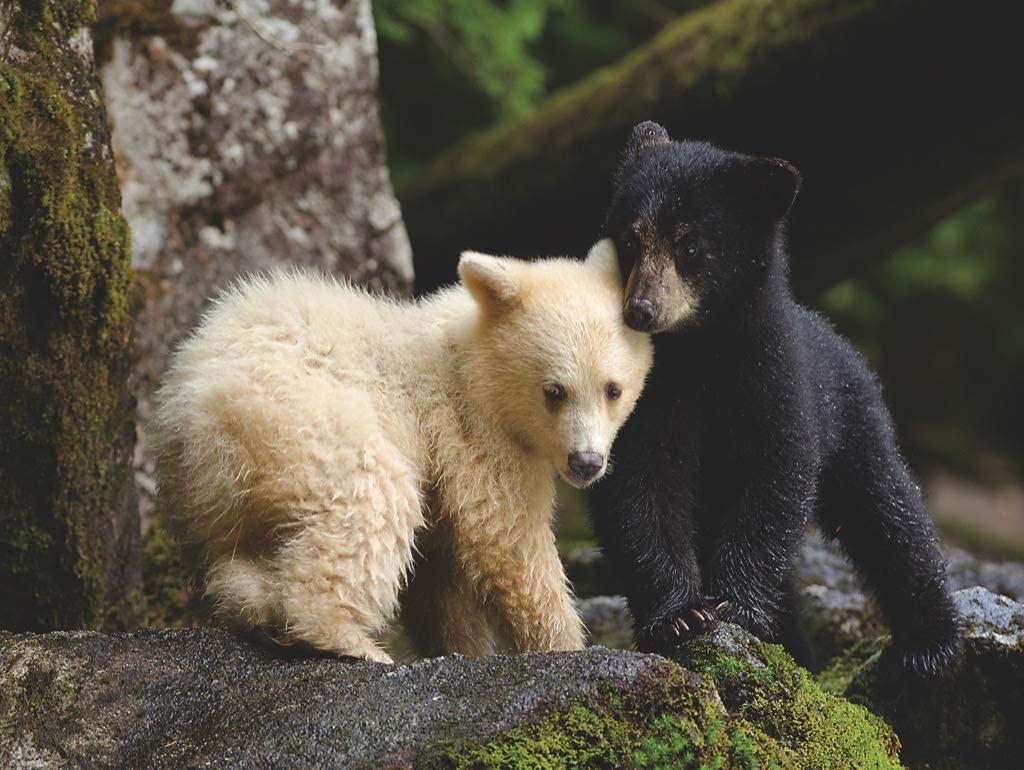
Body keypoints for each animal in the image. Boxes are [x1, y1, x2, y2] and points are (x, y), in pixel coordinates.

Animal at [151, 240, 653, 663]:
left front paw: (461, 647)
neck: (472, 363)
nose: (586, 463)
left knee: (240, 553)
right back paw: (348, 640)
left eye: (613, 389)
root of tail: (185, 412)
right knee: (373, 497)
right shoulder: (473, 432)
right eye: (554, 390)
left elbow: (441, 578)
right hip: (297, 418)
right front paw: (565, 644)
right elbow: (507, 537)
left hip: (227, 490)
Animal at [586, 121, 963, 677]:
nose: (641, 310)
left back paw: (930, 643)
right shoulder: (643, 396)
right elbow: (639, 484)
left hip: (854, 418)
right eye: (630, 238)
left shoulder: (774, 377)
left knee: (888, 511)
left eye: (690, 246)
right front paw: (680, 616)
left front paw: (734, 605)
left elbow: (774, 474)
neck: (697, 351)